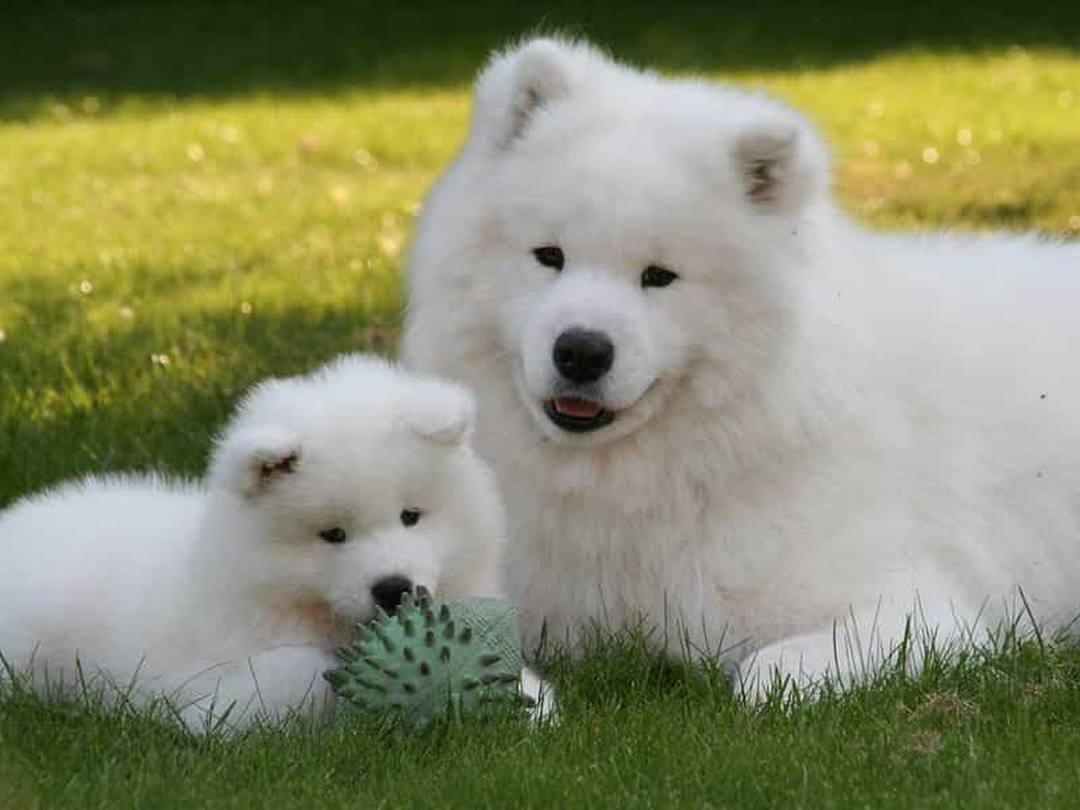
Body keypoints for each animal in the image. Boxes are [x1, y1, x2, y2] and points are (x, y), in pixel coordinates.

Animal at [0, 354, 540, 730]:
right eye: (333, 535)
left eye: (411, 517)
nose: (394, 587)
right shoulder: (193, 673)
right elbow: (299, 672)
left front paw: (536, 708)